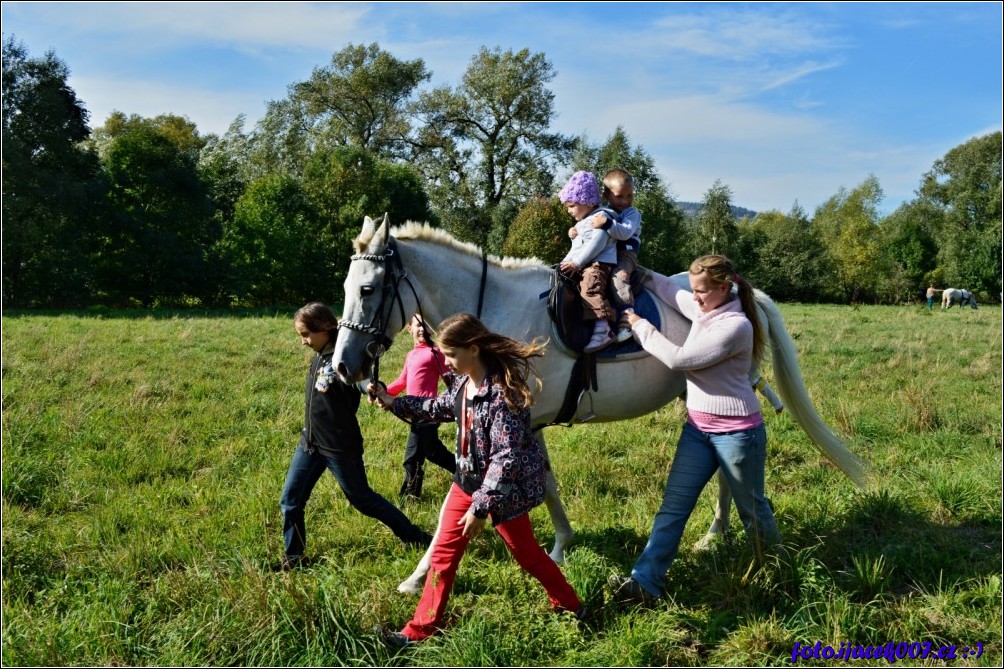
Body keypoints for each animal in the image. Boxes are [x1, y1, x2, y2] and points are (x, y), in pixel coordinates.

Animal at [333, 211, 867, 590]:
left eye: (368, 288)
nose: (343, 366)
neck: (499, 315)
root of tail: (743, 294)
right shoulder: (529, 423)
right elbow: (546, 484)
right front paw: (562, 545)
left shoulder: (516, 422)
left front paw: (419, 575)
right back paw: (717, 532)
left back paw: (715, 533)